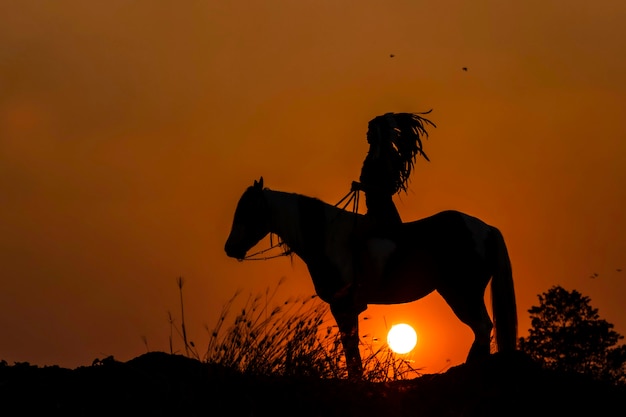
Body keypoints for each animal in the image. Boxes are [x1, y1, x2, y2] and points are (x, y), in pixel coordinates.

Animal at [224, 176, 516, 376]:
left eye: (247, 210)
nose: (230, 248)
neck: (326, 237)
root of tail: (486, 229)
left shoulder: (344, 305)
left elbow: (351, 349)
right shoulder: (344, 307)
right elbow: (350, 348)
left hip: (463, 293)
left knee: (482, 327)